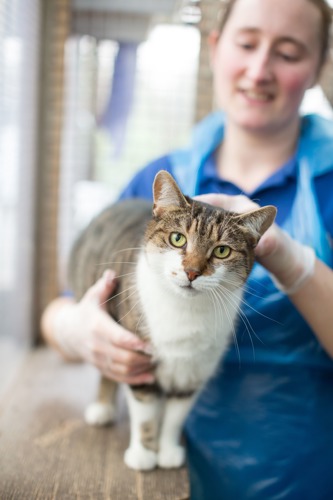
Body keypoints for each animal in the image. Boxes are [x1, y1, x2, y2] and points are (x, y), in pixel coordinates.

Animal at [68, 170, 274, 470]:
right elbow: (144, 410)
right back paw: (103, 408)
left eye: (222, 251)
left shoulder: (194, 372)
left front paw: (167, 450)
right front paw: (143, 453)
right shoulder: (136, 358)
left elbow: (176, 416)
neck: (185, 310)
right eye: (178, 239)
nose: (192, 272)